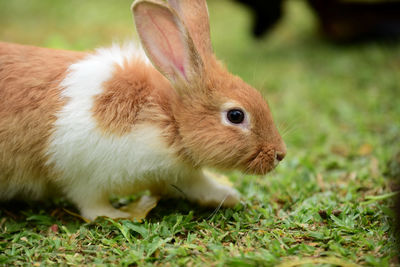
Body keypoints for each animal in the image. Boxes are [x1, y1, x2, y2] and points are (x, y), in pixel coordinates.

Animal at [0, 0, 288, 222]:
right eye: (235, 115)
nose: (280, 154)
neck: (171, 119)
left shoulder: (181, 174)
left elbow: (200, 185)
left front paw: (228, 196)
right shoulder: (82, 173)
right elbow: (91, 204)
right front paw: (116, 215)